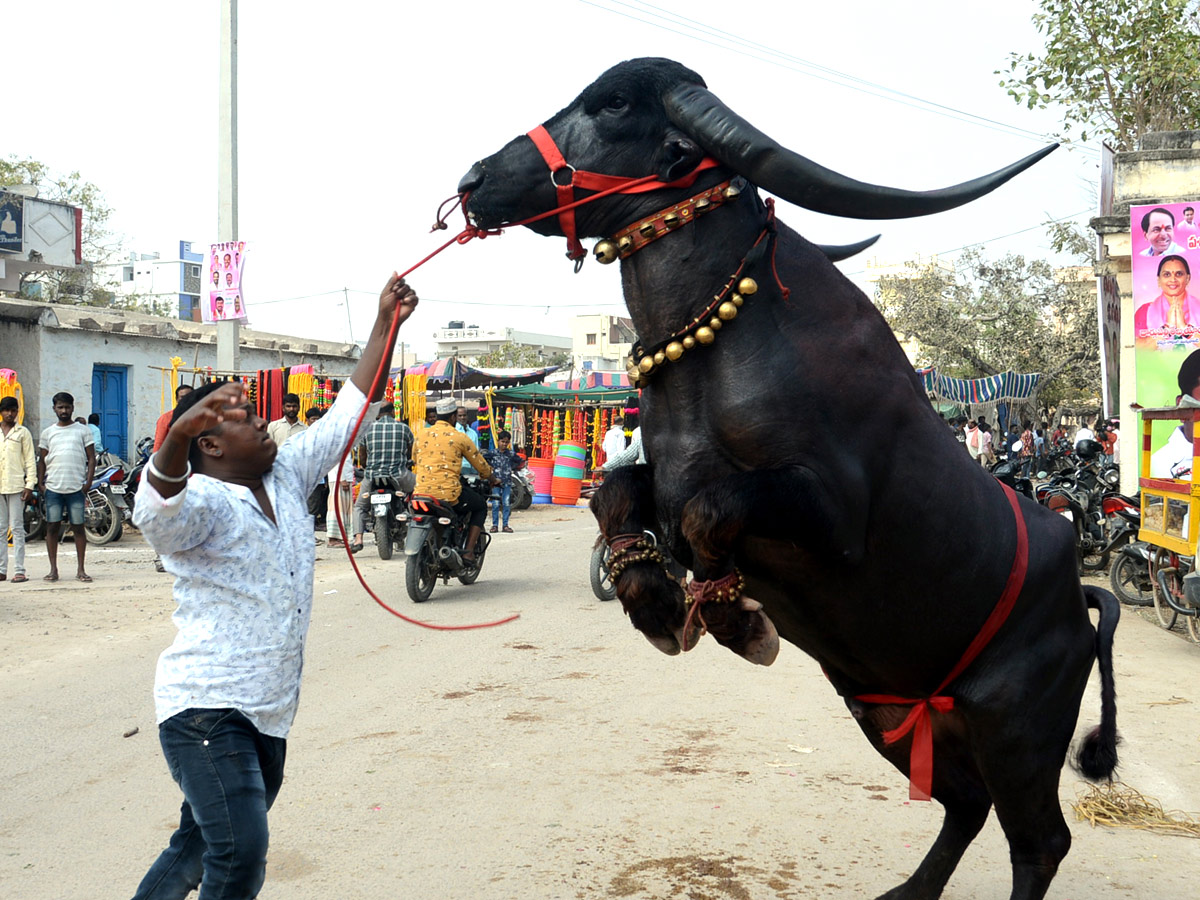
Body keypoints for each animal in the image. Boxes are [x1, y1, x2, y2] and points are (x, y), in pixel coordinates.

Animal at [456, 58, 1113, 900]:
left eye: (613, 103)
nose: (474, 180)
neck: (713, 349)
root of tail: (1077, 594)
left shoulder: (832, 515)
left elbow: (709, 514)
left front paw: (734, 618)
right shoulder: (659, 478)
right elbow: (617, 496)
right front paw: (658, 605)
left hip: (1017, 728)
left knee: (1039, 841)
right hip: (888, 709)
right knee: (964, 803)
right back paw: (906, 893)